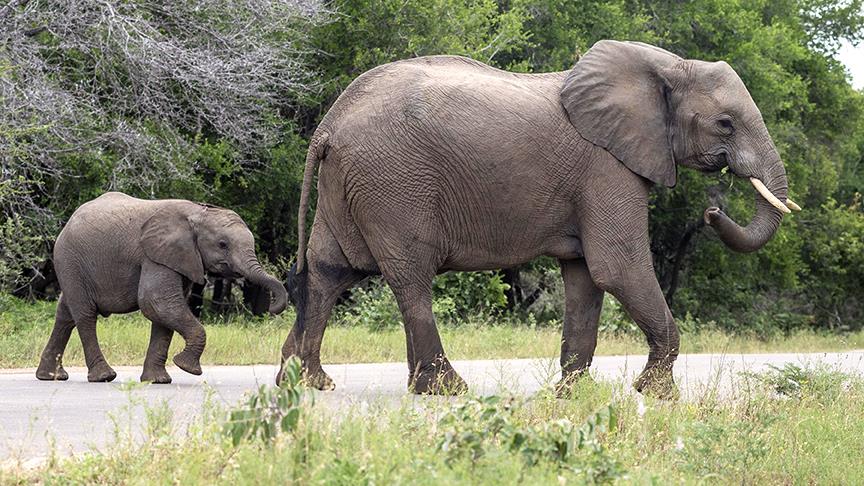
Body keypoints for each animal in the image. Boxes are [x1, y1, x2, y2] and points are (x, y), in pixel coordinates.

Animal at [280, 41, 800, 396]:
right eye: (725, 124)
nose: (713, 211)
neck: (666, 66)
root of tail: (328, 125)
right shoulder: (607, 168)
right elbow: (618, 267)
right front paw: (656, 395)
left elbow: (586, 278)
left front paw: (573, 395)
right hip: (393, 183)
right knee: (410, 278)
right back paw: (445, 389)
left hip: (348, 186)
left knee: (329, 271)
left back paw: (306, 381)